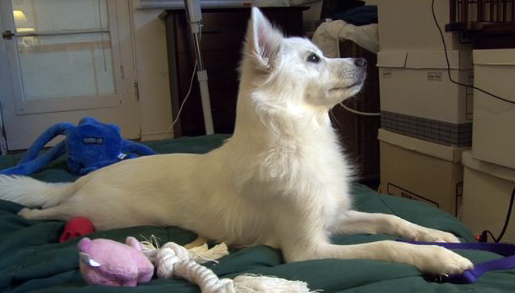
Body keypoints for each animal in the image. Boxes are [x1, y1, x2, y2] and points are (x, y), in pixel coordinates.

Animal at [0, 7, 472, 276]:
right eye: (314, 59)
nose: (362, 60)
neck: (295, 136)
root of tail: (87, 178)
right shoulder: (308, 249)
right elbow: (386, 246)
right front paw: (442, 260)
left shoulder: (332, 218)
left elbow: (391, 220)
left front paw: (437, 235)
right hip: (103, 215)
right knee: (56, 210)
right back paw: (28, 210)